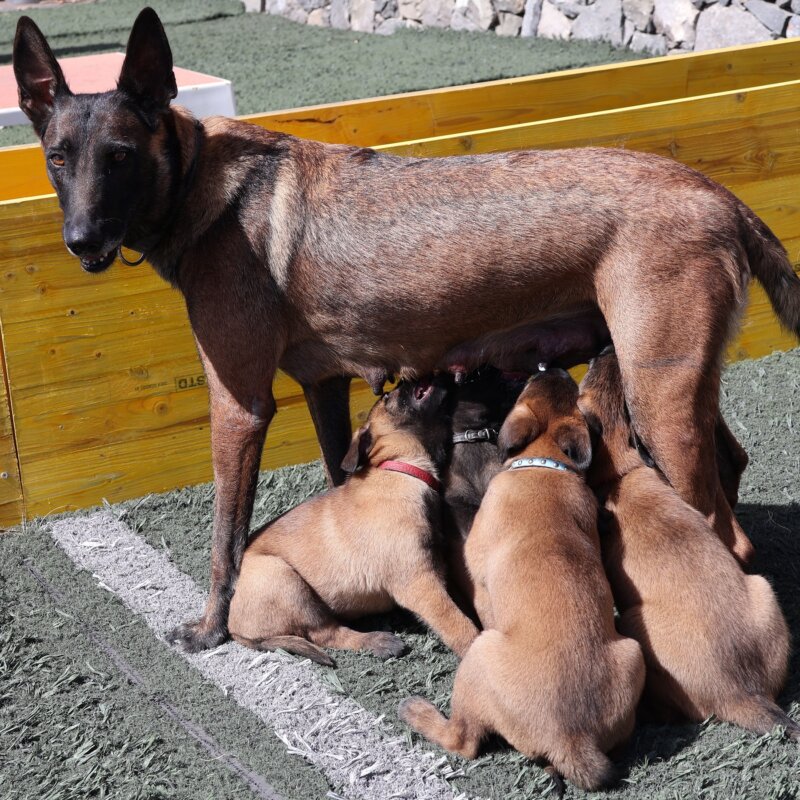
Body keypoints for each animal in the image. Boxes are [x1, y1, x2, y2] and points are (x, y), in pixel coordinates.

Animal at [225, 378, 478, 664]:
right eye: (389, 397)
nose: (402, 379)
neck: (402, 468)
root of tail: (234, 629)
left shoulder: (436, 568)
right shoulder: (419, 582)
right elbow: (457, 623)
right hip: (281, 578)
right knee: (326, 633)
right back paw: (378, 641)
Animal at [398, 372, 644, 792]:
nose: (550, 368)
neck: (545, 464)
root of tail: (571, 738)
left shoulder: (478, 576)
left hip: (479, 655)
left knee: (463, 741)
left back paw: (417, 712)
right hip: (633, 652)